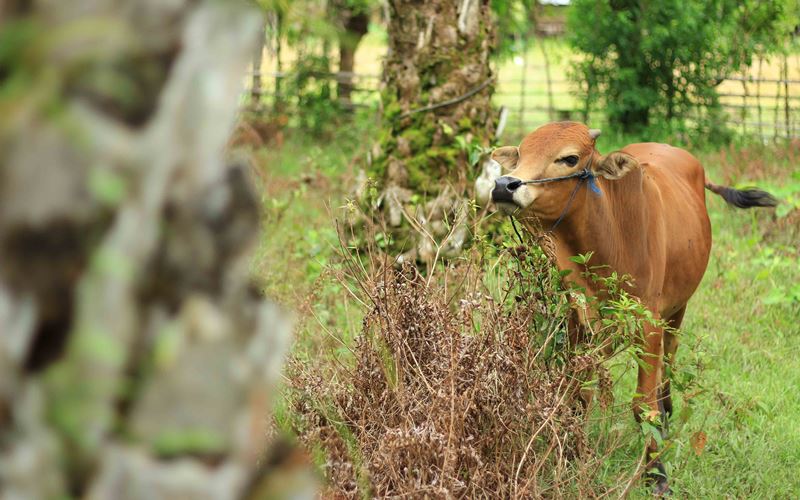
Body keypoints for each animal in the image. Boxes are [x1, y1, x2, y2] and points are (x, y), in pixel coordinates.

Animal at [490, 122, 780, 496]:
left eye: (569, 158)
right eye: (521, 154)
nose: (503, 186)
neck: (610, 236)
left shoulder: (649, 323)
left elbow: (643, 407)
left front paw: (657, 474)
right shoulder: (578, 322)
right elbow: (577, 395)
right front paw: (571, 455)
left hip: (678, 308)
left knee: (669, 358)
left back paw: (667, 411)